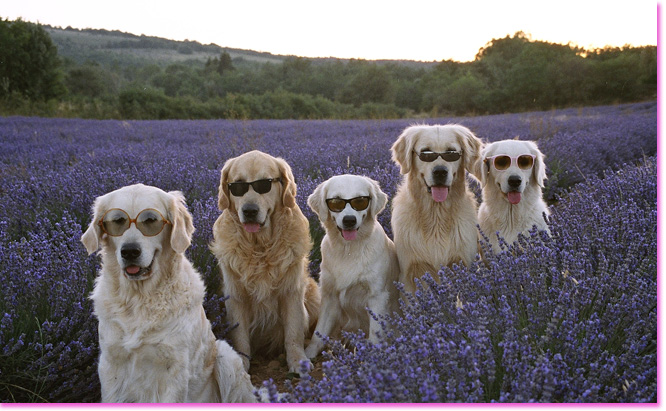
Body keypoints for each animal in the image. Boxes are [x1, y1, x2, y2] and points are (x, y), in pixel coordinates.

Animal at [78, 185, 254, 404]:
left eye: (151, 220)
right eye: (117, 220)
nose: (129, 251)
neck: (139, 298)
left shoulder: (175, 367)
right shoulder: (111, 363)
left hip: (226, 355)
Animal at [210, 150, 320, 374]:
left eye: (265, 184)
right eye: (238, 186)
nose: (250, 210)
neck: (260, 247)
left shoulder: (291, 290)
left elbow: (293, 333)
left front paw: (298, 361)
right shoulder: (236, 295)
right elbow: (240, 336)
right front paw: (241, 364)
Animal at [302, 174, 400, 358]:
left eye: (360, 200)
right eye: (336, 202)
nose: (349, 220)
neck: (348, 249)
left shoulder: (377, 296)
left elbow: (375, 333)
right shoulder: (330, 295)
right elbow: (319, 332)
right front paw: (308, 355)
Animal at [386, 124, 480, 294]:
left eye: (451, 153)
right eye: (426, 153)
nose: (440, 172)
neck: (436, 214)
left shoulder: (462, 261)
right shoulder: (411, 270)